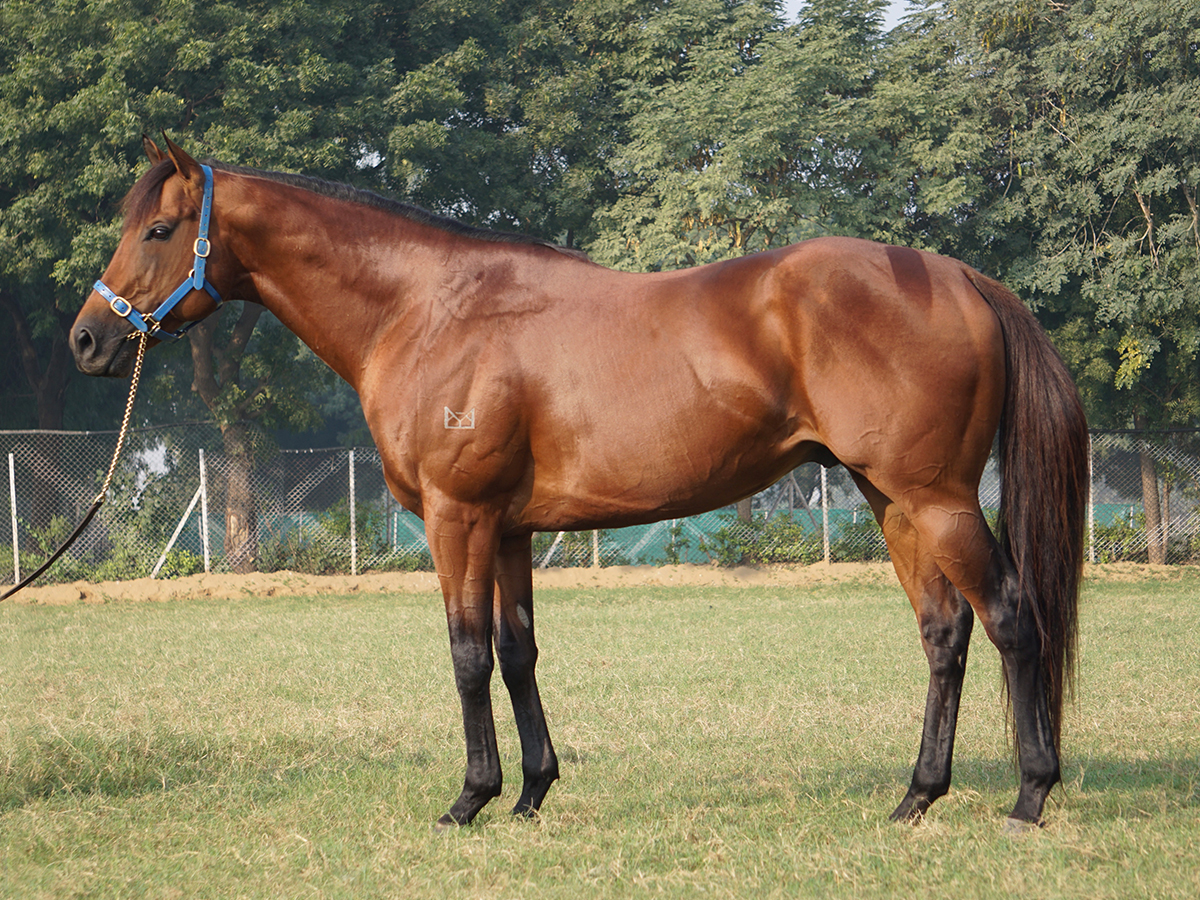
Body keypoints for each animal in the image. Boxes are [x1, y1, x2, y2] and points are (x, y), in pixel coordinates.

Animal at [70, 137, 1088, 829]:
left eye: (158, 229)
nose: (88, 337)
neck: (428, 311)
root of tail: (959, 276)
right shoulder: (511, 528)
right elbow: (518, 652)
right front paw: (530, 794)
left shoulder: (458, 519)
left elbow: (467, 654)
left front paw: (469, 800)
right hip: (892, 502)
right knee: (945, 632)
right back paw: (916, 799)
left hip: (937, 500)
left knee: (1010, 618)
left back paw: (1029, 797)